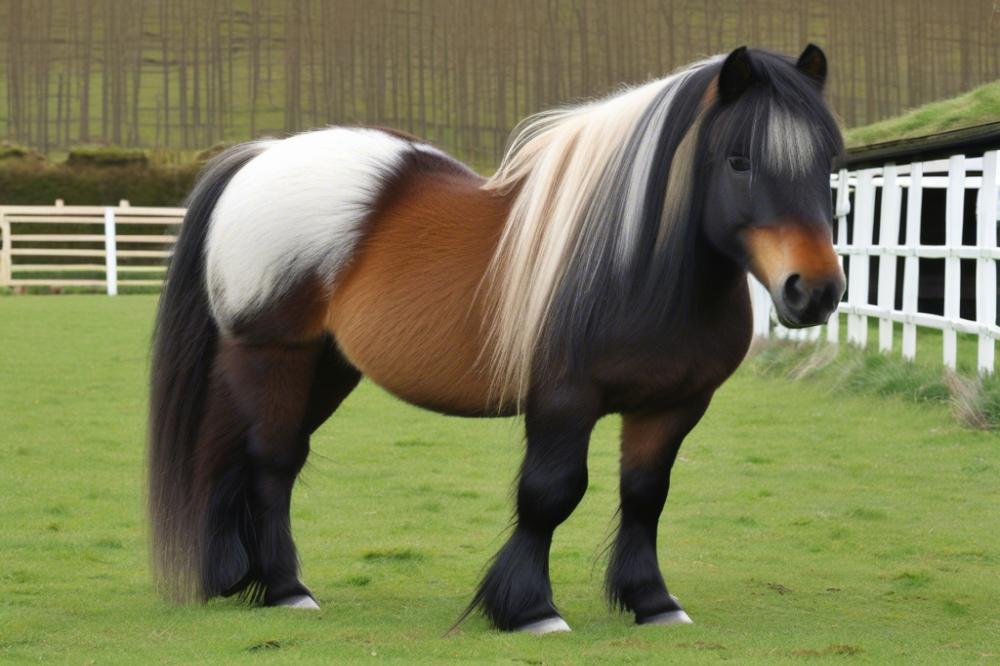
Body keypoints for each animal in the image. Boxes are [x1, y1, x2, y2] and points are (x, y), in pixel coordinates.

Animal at [152, 44, 848, 632]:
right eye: (739, 159)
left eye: (828, 162)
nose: (812, 291)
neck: (635, 266)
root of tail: (260, 156)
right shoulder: (563, 401)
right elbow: (550, 494)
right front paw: (529, 608)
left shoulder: (674, 405)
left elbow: (646, 496)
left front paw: (652, 601)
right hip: (274, 356)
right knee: (271, 465)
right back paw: (286, 589)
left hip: (326, 367)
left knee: (246, 457)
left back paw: (238, 579)